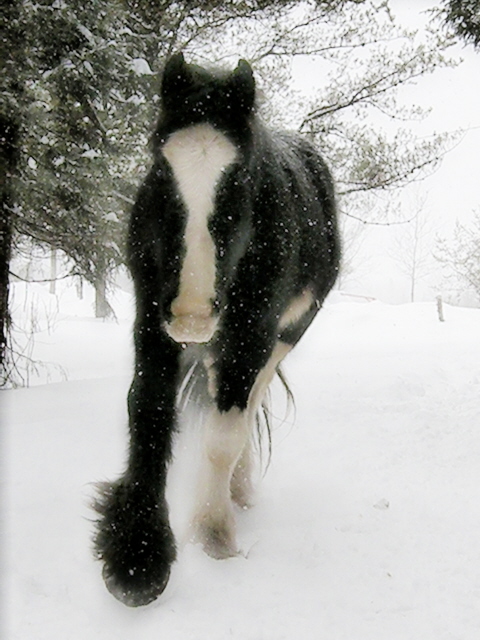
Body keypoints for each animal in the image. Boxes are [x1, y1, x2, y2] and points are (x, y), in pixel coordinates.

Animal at [94, 53, 342, 604]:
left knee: (245, 409)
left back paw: (238, 490)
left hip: (278, 340)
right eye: (159, 168)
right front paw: (137, 559)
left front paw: (213, 536)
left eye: (241, 180)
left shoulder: (252, 337)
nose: (192, 315)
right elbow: (148, 412)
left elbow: (225, 435)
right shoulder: (152, 324)